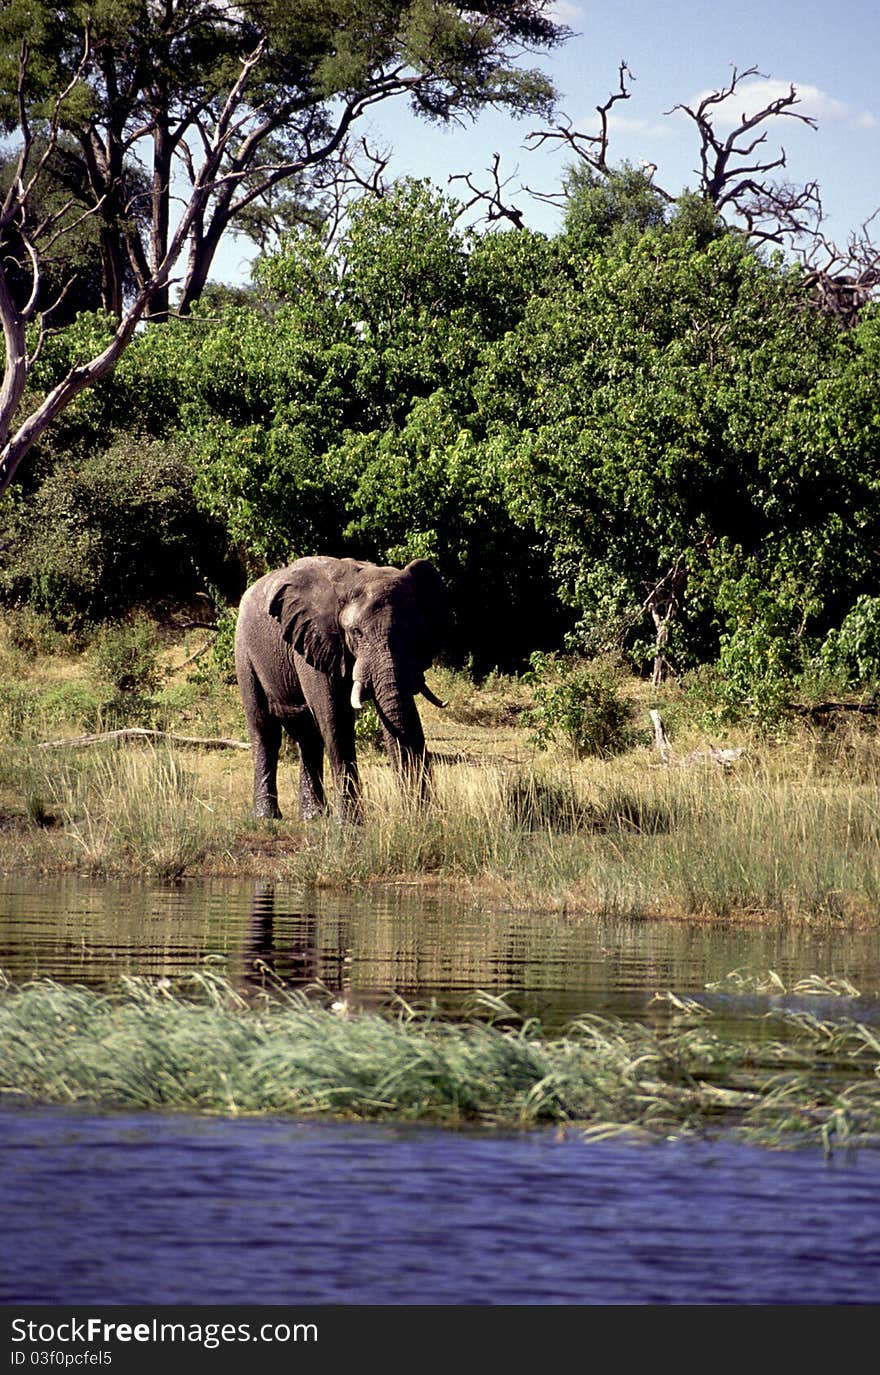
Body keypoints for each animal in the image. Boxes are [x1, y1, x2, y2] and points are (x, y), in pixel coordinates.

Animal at [233, 555, 445, 819]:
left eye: (415, 631)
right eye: (356, 632)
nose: (415, 816)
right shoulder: (315, 639)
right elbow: (335, 718)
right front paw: (350, 823)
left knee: (308, 737)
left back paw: (314, 817)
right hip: (244, 652)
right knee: (265, 731)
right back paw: (267, 817)